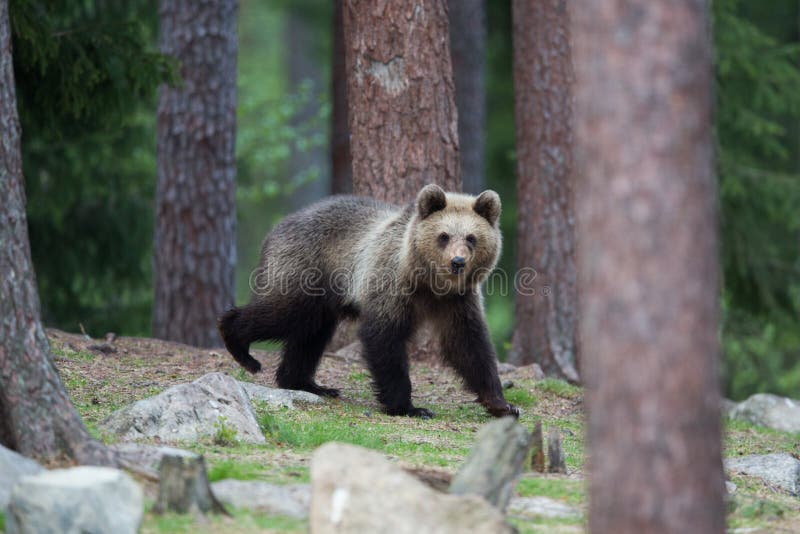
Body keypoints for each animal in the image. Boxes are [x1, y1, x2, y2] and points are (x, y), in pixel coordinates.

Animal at [219, 186, 520, 420]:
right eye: (444, 236)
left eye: (471, 238)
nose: (457, 262)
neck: (430, 284)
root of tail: (278, 226)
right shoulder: (391, 283)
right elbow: (384, 338)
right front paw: (409, 407)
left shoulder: (457, 301)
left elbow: (469, 345)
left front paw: (502, 404)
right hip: (306, 270)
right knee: (284, 312)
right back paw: (240, 346)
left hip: (322, 298)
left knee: (311, 335)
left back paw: (308, 384)